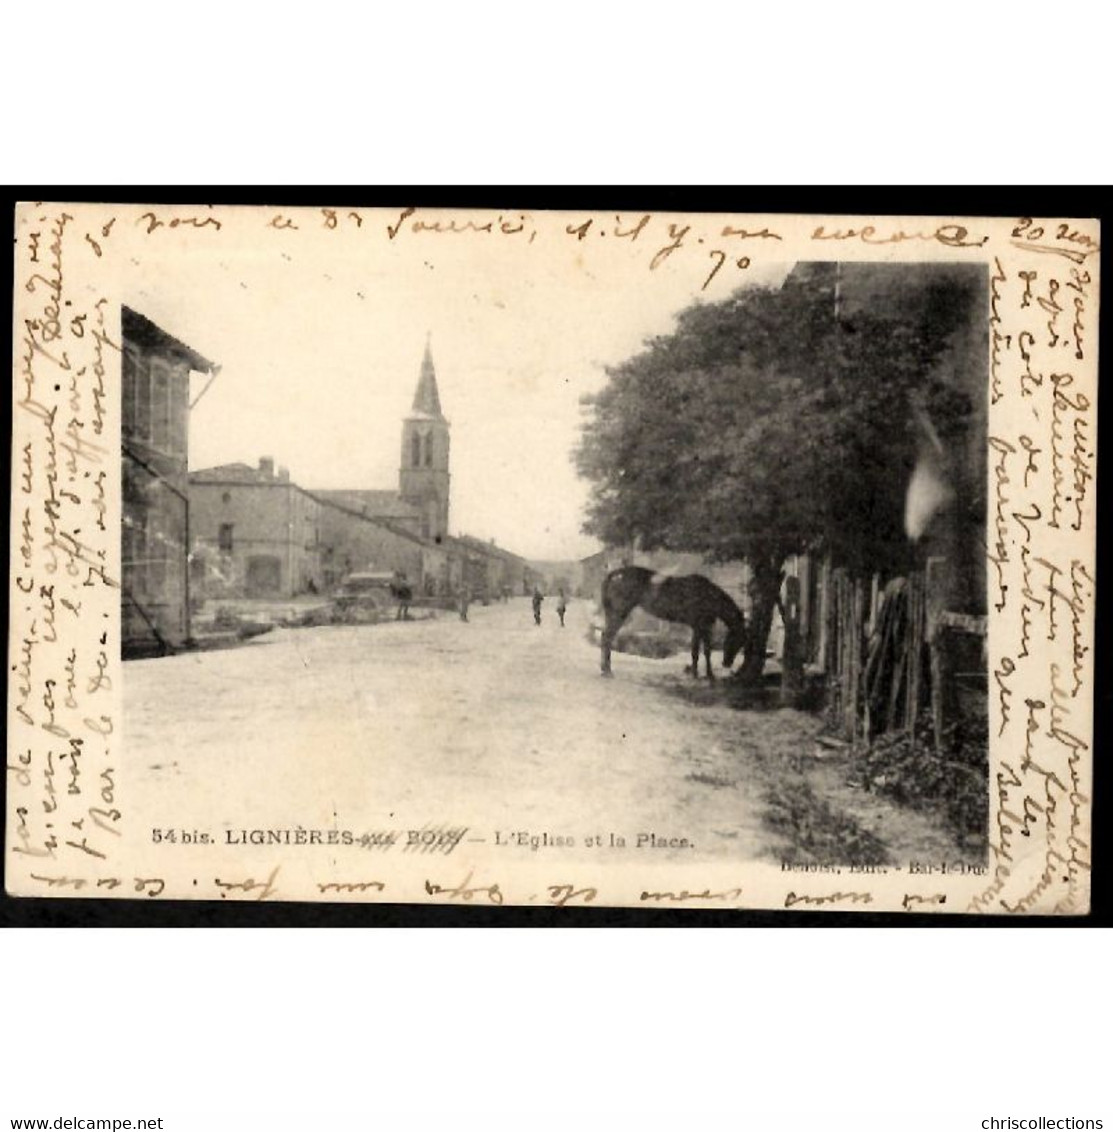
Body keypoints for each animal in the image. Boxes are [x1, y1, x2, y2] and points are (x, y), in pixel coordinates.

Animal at [602, 570, 747, 674]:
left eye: (741, 642)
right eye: (737, 640)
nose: (726, 663)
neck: (708, 596)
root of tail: (615, 574)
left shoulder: (696, 627)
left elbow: (695, 651)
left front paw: (694, 673)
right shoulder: (703, 627)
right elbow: (706, 651)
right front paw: (710, 677)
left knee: (606, 636)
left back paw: (605, 668)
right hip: (619, 613)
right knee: (607, 637)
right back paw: (607, 670)